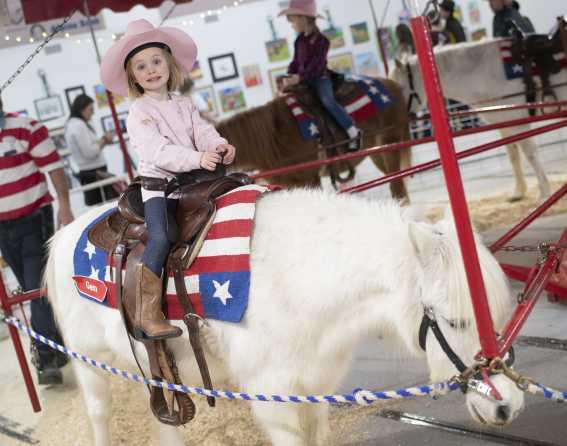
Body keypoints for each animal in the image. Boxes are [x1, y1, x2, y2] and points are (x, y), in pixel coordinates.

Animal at [45, 189, 528, 446]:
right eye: (458, 322)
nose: (508, 405)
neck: (296, 278)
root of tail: (64, 235)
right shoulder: (274, 400)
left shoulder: (313, 391)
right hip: (90, 366)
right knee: (99, 415)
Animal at [392, 38, 564, 202]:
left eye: (400, 88)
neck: (485, 72)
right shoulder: (505, 125)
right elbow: (513, 155)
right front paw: (518, 192)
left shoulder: (519, 124)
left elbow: (531, 155)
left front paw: (545, 192)